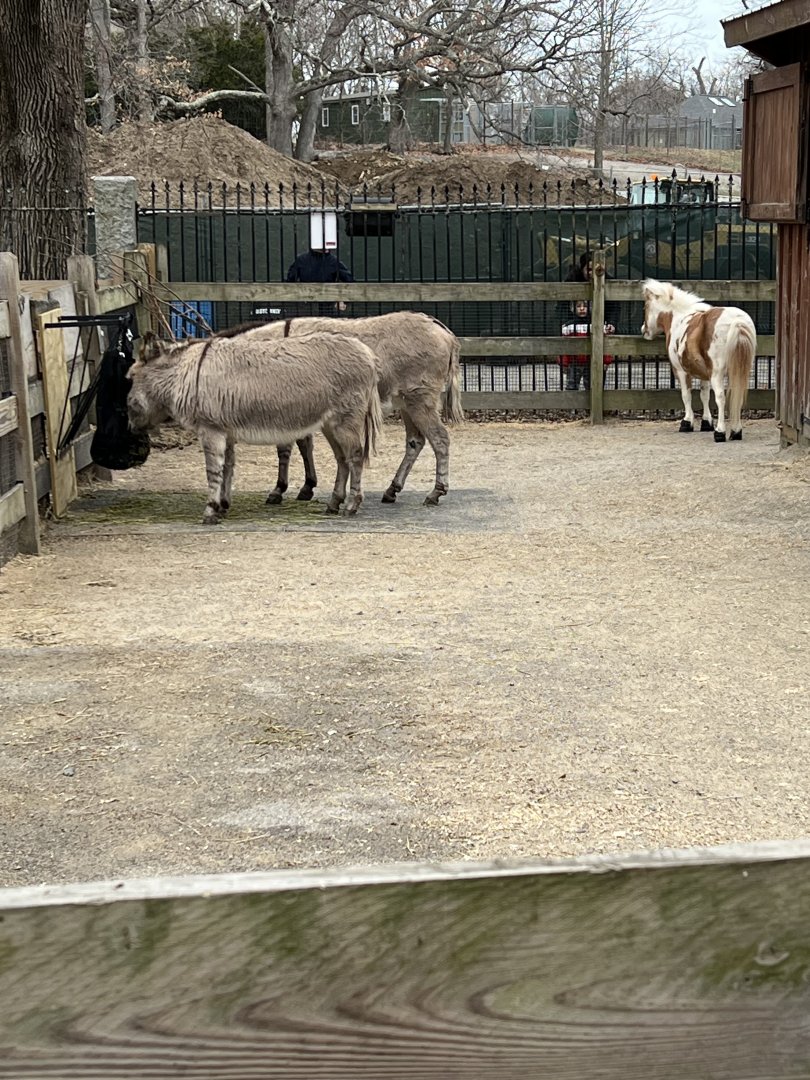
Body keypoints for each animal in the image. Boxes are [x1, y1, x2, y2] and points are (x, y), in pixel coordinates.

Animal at [127, 331, 383, 523]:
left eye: (129, 377)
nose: (130, 426)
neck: (188, 373)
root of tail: (367, 353)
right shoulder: (226, 431)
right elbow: (227, 467)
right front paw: (223, 505)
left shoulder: (211, 429)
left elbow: (213, 470)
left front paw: (210, 510)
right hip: (330, 424)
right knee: (342, 459)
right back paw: (333, 503)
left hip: (345, 420)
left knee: (355, 456)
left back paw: (351, 505)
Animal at [215, 312, 463, 506]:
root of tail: (441, 329)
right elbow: (304, 445)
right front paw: (306, 487)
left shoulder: (286, 407)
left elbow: (286, 448)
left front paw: (279, 490)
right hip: (406, 402)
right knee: (415, 442)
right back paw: (392, 490)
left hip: (420, 400)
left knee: (440, 439)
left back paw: (435, 492)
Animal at [641, 279, 757, 442]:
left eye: (645, 306)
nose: (643, 330)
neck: (678, 318)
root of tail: (737, 321)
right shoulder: (705, 374)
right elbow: (704, 395)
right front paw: (706, 422)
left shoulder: (681, 371)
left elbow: (686, 395)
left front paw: (687, 423)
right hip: (739, 371)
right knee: (736, 395)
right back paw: (736, 431)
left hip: (717, 374)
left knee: (720, 397)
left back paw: (720, 432)